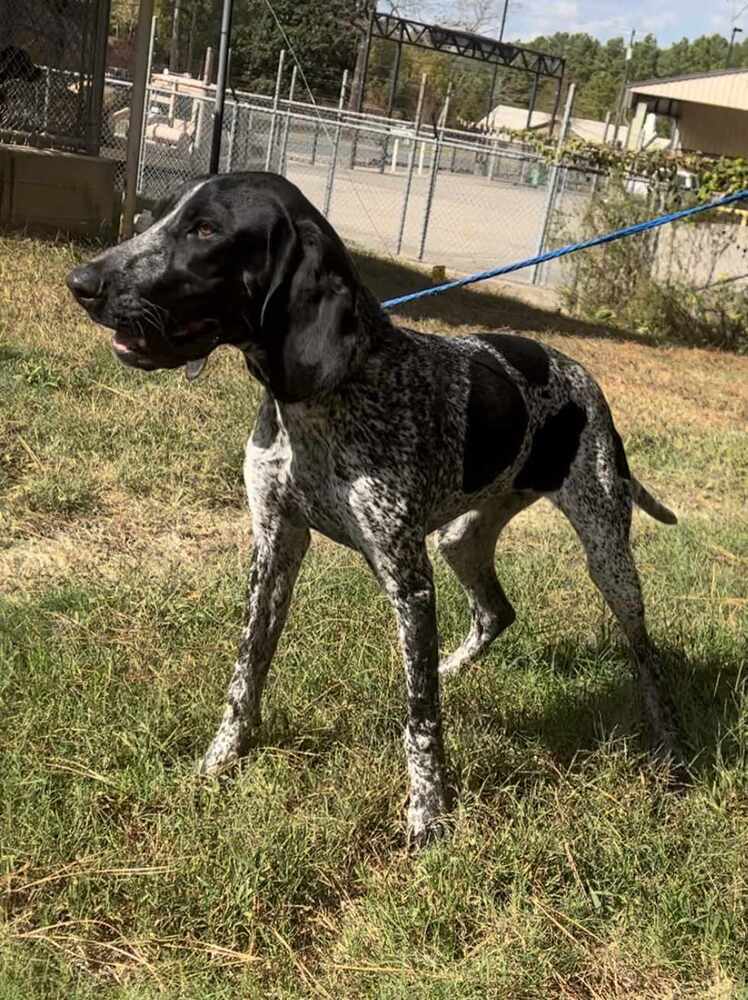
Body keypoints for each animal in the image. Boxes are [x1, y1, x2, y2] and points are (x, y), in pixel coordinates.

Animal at [68, 176, 684, 848]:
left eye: (205, 230)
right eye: (156, 216)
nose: (81, 281)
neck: (318, 402)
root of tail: (580, 376)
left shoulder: (407, 580)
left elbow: (420, 717)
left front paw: (428, 815)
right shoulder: (274, 548)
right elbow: (246, 672)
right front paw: (220, 759)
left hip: (607, 554)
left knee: (645, 657)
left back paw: (668, 748)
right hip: (460, 539)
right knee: (496, 613)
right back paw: (453, 668)